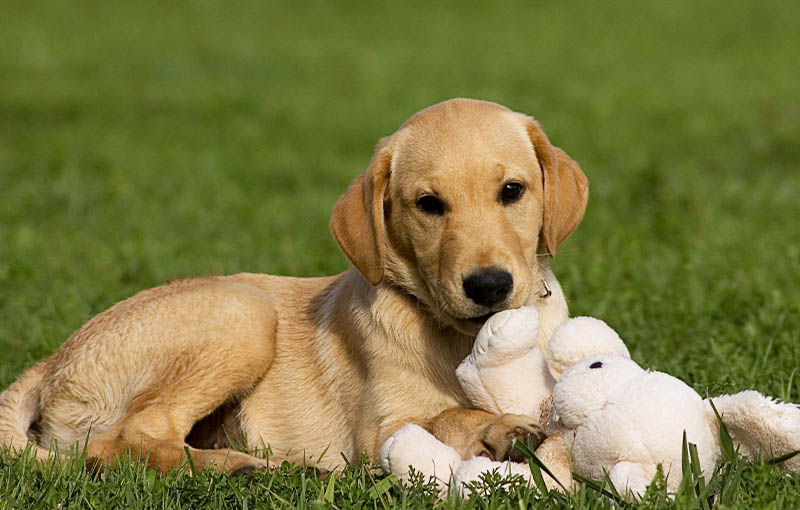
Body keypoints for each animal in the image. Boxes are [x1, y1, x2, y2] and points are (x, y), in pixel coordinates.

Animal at [0, 97, 588, 472]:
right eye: (428, 205)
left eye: (512, 191)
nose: (489, 286)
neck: (463, 337)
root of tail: (52, 361)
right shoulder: (381, 430)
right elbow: (445, 416)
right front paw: (497, 429)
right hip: (244, 311)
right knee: (119, 442)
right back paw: (240, 467)